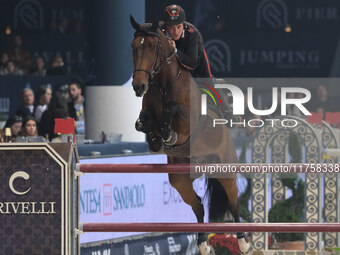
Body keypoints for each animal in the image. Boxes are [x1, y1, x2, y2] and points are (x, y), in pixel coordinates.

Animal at [129, 15, 252, 255]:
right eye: (133, 47)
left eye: (153, 46)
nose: (139, 87)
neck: (164, 84)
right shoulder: (148, 111)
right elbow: (145, 120)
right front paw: (156, 138)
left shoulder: (188, 122)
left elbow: (172, 110)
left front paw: (167, 132)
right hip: (180, 179)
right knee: (198, 205)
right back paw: (203, 244)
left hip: (225, 168)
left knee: (233, 200)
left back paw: (243, 241)